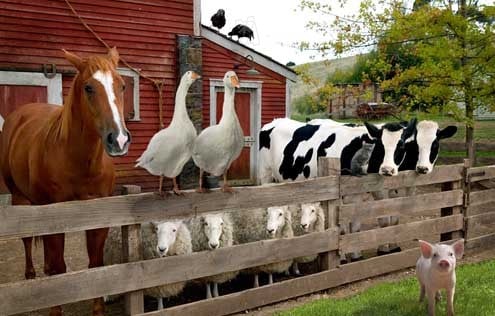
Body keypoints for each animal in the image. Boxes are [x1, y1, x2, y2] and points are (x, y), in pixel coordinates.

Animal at [0, 47, 131, 316]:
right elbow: (60, 267)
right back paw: (31, 275)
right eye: (89, 88)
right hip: (21, 199)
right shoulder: (55, 215)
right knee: (28, 240)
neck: (78, 161)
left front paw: (98, 309)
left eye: (122, 85)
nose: (119, 140)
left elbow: (96, 264)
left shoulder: (99, 214)